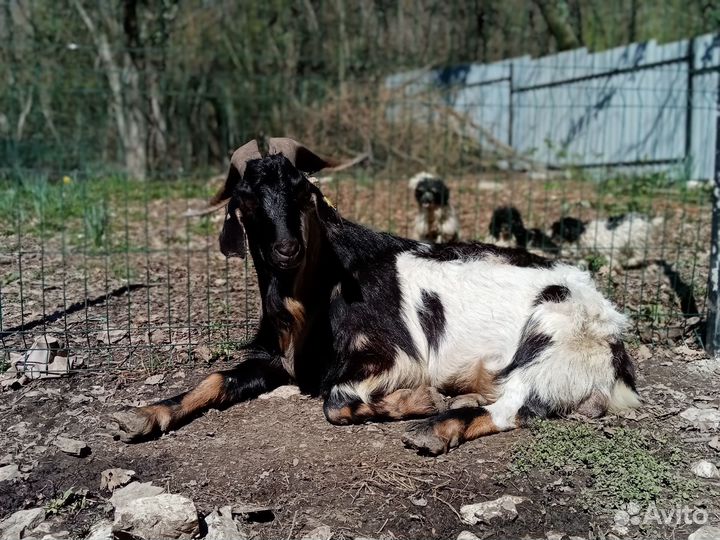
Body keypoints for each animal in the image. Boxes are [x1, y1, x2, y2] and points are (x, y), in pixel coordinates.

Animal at [113, 138, 640, 455]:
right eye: (243, 199)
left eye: (304, 190)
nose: (287, 249)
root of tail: (613, 333)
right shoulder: (278, 358)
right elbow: (215, 379)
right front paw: (141, 414)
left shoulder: (394, 355)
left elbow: (335, 401)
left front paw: (417, 401)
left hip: (551, 334)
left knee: (513, 407)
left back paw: (433, 429)